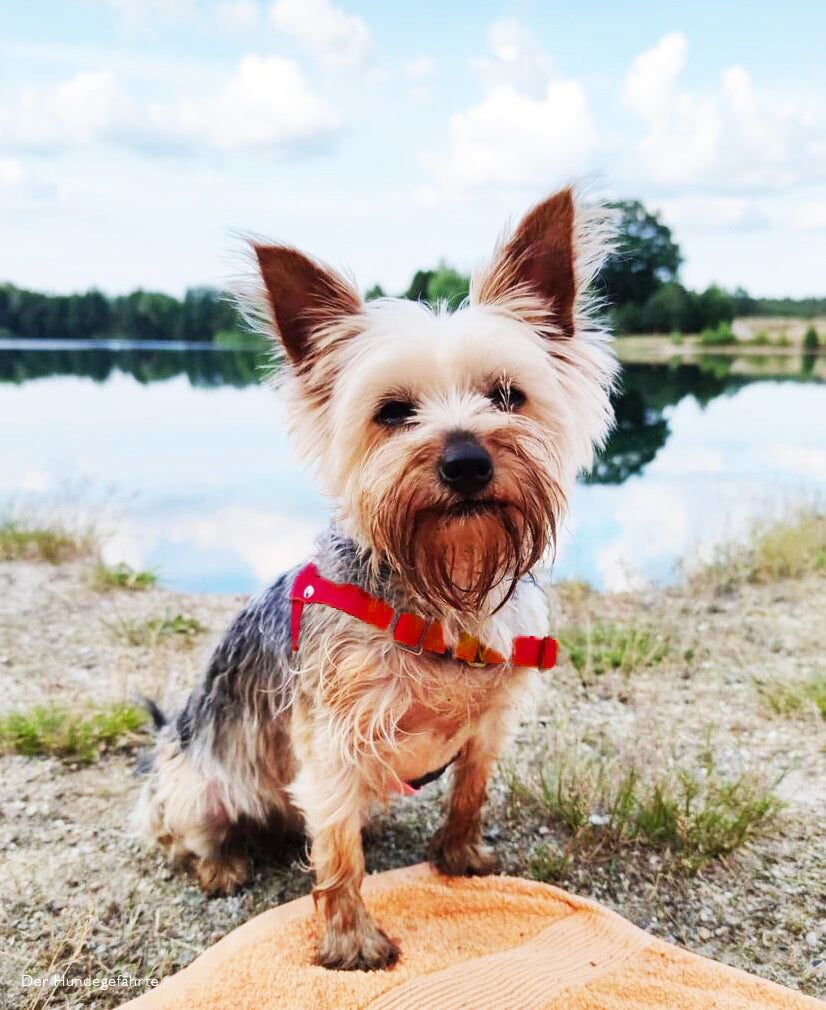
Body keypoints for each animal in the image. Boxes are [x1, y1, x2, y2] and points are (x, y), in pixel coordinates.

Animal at [136, 187, 609, 969]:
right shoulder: (333, 744)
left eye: (507, 395)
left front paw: (460, 858)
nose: (466, 461)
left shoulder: (488, 724)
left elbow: (470, 790)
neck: (448, 590)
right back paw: (222, 863)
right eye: (392, 412)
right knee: (188, 830)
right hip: (194, 775)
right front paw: (350, 940)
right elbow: (337, 855)